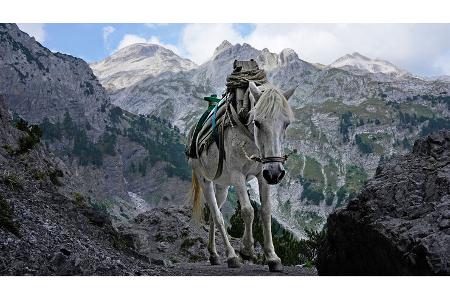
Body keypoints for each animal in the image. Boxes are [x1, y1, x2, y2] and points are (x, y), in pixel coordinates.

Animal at [189, 81, 298, 272]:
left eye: (286, 124)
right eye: (257, 122)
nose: (276, 173)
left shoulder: (263, 176)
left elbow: (266, 211)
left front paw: (272, 257)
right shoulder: (238, 175)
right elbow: (248, 211)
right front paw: (246, 249)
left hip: (222, 186)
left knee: (213, 215)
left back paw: (214, 254)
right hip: (205, 180)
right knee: (217, 216)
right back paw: (232, 256)